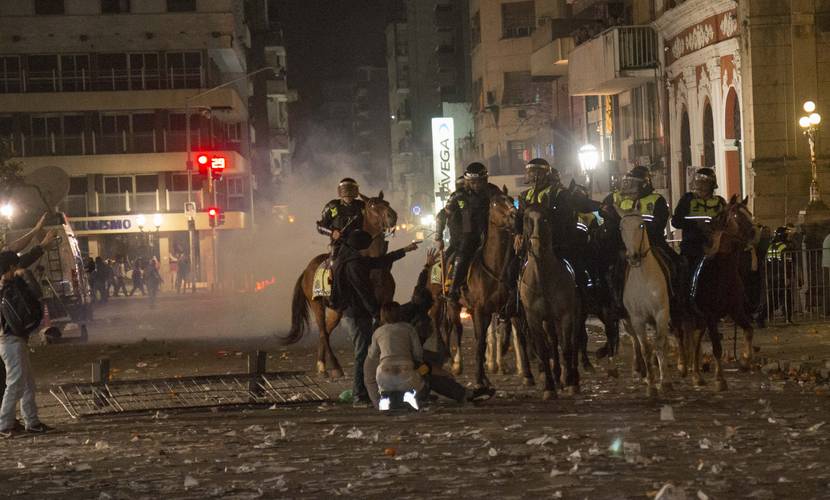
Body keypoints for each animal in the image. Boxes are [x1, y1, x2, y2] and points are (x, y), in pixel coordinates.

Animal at [286, 193, 400, 376]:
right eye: (372, 205)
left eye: (386, 202)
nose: (392, 216)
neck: (372, 265)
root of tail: (306, 270)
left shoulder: (384, 302)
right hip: (317, 304)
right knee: (323, 332)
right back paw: (334, 366)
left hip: (336, 310)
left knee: (325, 331)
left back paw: (322, 364)